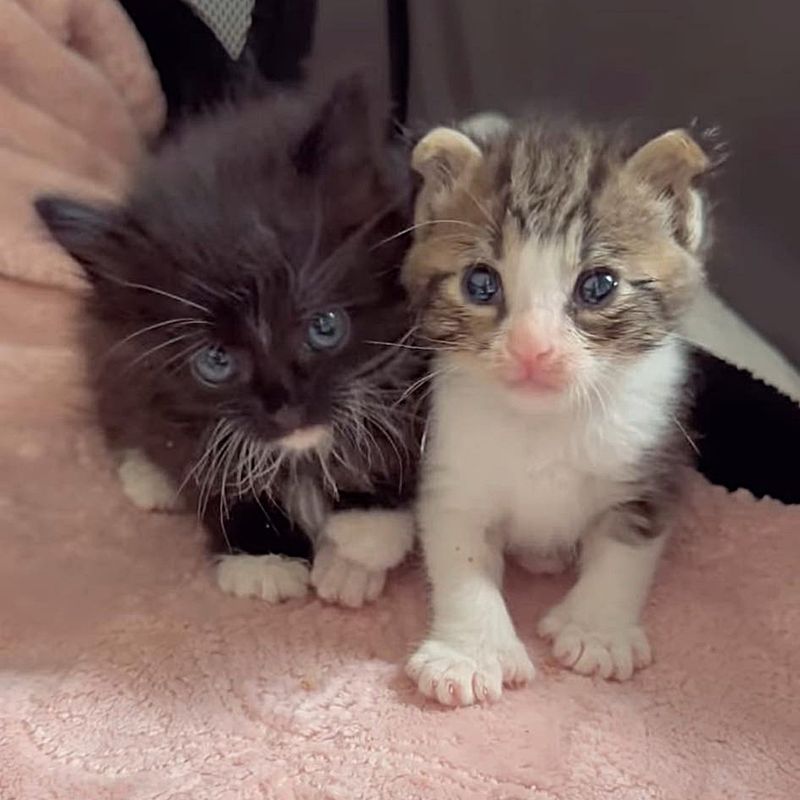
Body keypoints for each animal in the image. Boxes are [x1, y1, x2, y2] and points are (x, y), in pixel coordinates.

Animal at [36, 79, 424, 608]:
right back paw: (147, 476)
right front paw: (262, 555)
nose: (286, 407)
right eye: (215, 360)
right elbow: (204, 464)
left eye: (324, 327)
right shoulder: (157, 386)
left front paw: (360, 540)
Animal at [406, 115, 712, 704]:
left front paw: (597, 632)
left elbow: (625, 553)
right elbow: (460, 560)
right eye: (481, 283)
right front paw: (470, 653)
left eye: (598, 285)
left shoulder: (650, 464)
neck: (544, 423)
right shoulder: (452, 472)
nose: (532, 349)